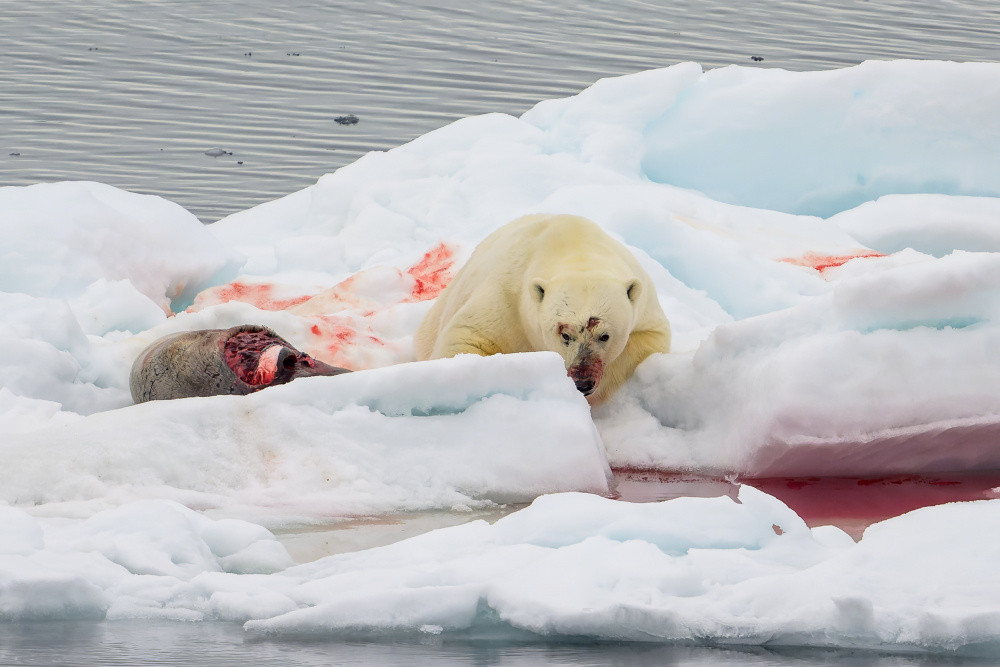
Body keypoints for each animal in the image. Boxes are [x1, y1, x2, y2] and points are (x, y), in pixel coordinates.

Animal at [414, 215, 672, 402]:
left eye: (605, 335)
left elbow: (648, 339)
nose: (582, 382)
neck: (573, 245)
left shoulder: (645, 307)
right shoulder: (508, 299)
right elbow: (467, 338)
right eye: (565, 334)